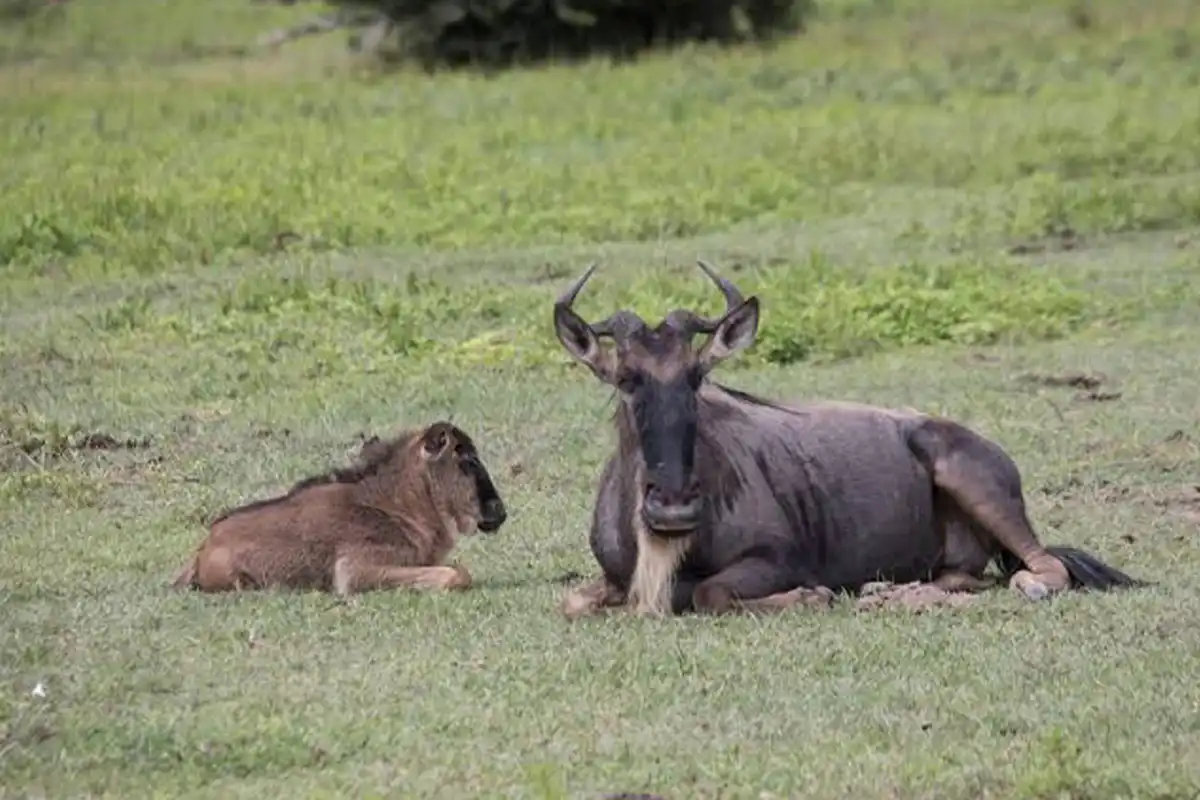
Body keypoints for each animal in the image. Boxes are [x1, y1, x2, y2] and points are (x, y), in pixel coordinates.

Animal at [554, 261, 1145, 619]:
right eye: (626, 379)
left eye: (696, 377)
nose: (673, 506)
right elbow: (573, 601)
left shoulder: (778, 558)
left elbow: (709, 591)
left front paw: (811, 596)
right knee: (964, 578)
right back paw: (888, 590)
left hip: (970, 479)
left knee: (1044, 568)